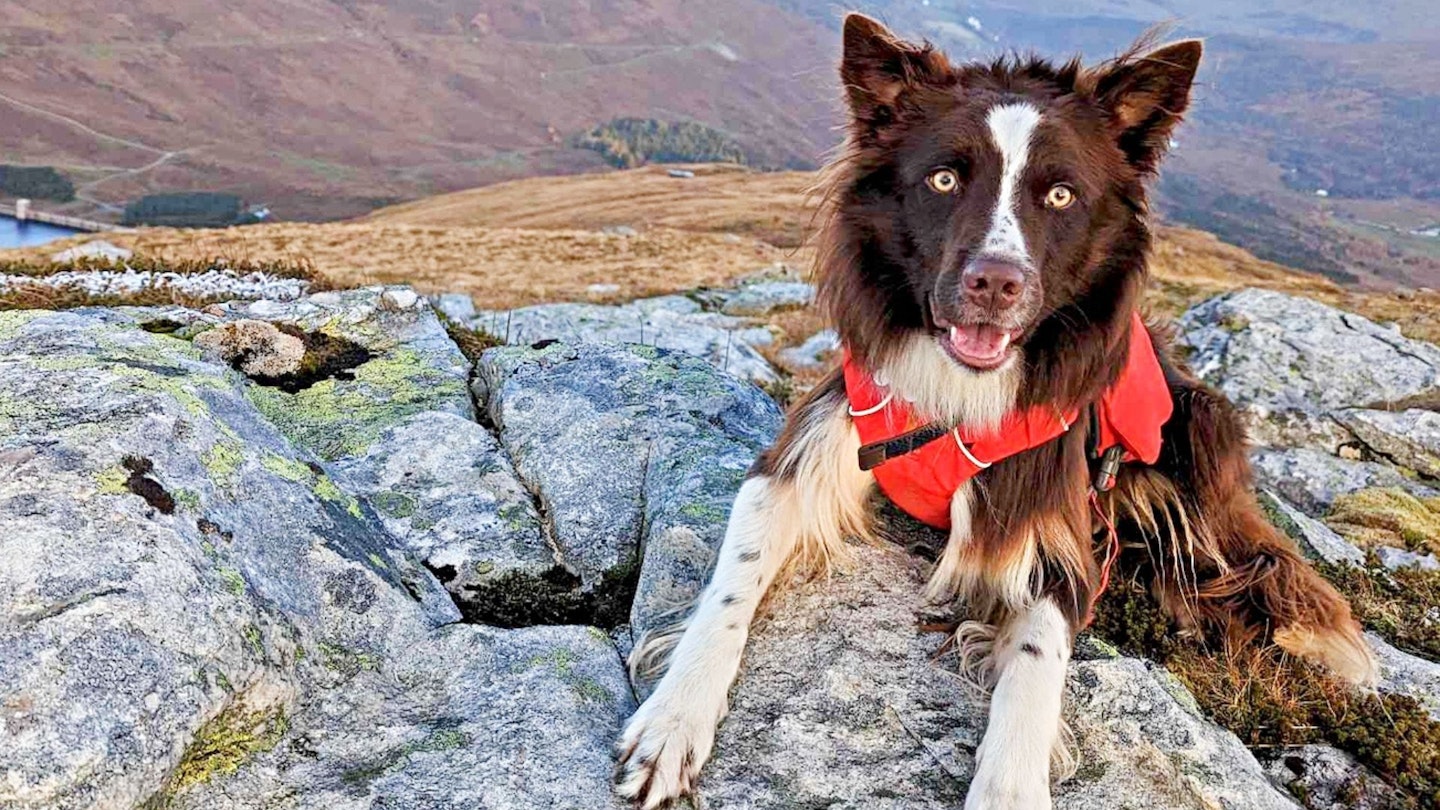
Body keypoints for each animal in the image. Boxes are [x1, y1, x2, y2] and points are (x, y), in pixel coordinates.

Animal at [613, 14, 1376, 807]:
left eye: (1061, 196)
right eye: (944, 179)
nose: (996, 283)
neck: (959, 389)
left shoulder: (1058, 535)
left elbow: (1037, 659)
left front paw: (1009, 784)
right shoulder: (805, 455)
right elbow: (732, 582)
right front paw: (673, 720)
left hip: (1200, 424)